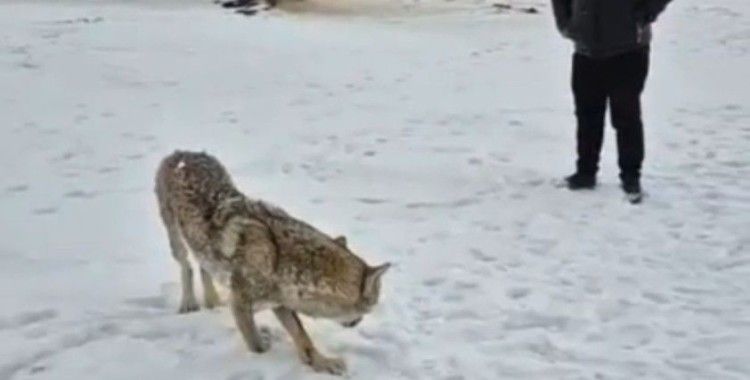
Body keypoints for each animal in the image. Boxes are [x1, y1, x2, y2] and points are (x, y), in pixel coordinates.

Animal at [152, 151, 388, 374]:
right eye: (371, 306)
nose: (358, 323)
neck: (279, 259)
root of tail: (182, 153)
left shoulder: (280, 303)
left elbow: (303, 337)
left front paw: (322, 363)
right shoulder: (240, 304)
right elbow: (257, 346)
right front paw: (264, 355)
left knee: (203, 267)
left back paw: (212, 302)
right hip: (176, 239)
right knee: (186, 266)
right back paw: (189, 303)